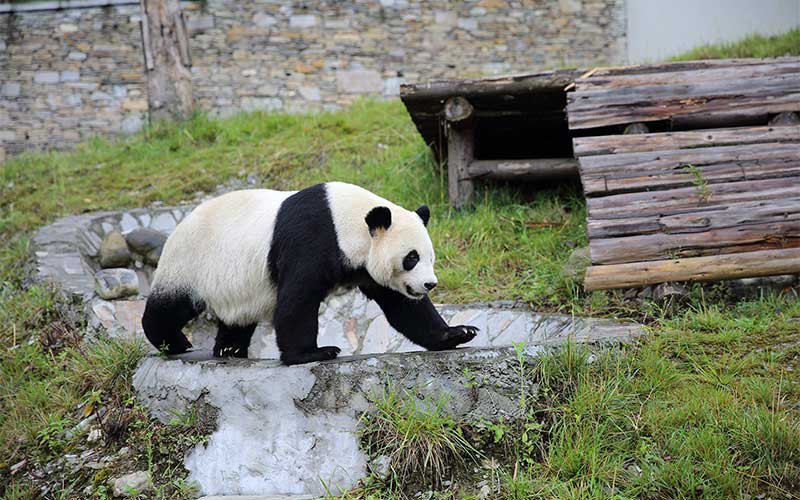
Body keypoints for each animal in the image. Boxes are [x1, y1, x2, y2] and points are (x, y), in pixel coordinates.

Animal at [141, 182, 478, 365]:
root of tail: (178, 226)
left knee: (237, 318)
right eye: (411, 258)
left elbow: (403, 307)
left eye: (430, 257)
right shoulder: (312, 239)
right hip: (190, 261)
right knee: (169, 306)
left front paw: (458, 332)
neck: (347, 219)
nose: (429, 284)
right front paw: (314, 353)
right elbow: (297, 301)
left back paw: (229, 348)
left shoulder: (366, 265)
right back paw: (174, 342)